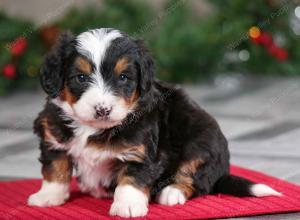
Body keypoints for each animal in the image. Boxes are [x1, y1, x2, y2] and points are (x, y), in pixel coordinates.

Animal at [28, 28, 282, 217]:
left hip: (202, 140)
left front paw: (127, 206)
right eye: (80, 78)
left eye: (123, 77)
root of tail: (223, 170)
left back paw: (172, 192)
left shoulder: (140, 151)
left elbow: (132, 179)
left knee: (197, 178)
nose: (102, 109)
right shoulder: (53, 137)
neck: (93, 128)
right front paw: (48, 196)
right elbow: (55, 169)